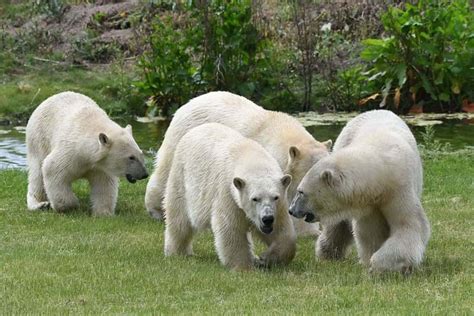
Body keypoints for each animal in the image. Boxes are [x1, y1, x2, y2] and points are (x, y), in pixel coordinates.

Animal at [146, 91, 332, 237]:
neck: (279, 132)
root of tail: (184, 106)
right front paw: (309, 231)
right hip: (183, 136)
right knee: (166, 171)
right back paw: (157, 209)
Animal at [165, 122, 294, 270]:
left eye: (275, 197)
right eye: (255, 198)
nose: (267, 218)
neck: (250, 157)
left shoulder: (279, 207)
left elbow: (282, 232)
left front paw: (265, 259)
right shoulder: (227, 193)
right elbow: (230, 229)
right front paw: (244, 267)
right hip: (181, 176)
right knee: (179, 218)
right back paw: (177, 252)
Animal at [288, 110, 430, 272]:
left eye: (301, 192)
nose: (291, 210)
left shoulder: (399, 188)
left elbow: (409, 225)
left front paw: (378, 265)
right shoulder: (368, 202)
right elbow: (370, 232)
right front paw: (371, 262)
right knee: (338, 224)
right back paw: (328, 253)